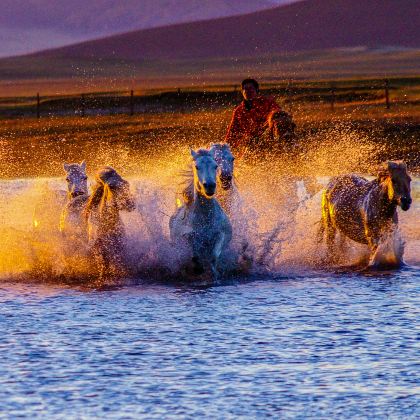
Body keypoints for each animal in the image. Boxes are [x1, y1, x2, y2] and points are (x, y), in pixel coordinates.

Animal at [168, 148, 233, 282]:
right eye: (197, 167)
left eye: (215, 166)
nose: (210, 186)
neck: (205, 218)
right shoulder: (188, 236)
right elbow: (194, 254)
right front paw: (198, 269)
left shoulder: (220, 234)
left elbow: (214, 256)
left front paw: (215, 275)